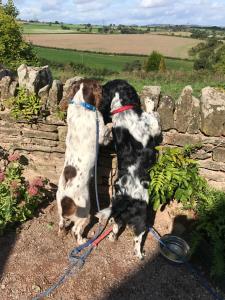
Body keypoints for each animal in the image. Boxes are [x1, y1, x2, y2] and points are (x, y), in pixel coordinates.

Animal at [56, 79, 111, 244]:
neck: (81, 103)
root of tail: (65, 200)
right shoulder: (101, 132)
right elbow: (108, 130)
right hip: (85, 211)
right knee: (76, 230)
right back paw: (83, 241)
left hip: (60, 213)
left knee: (61, 224)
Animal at [98, 79, 162, 258]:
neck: (123, 109)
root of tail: (126, 198)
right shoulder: (153, 127)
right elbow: (153, 115)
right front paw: (149, 101)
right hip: (142, 219)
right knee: (137, 239)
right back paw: (140, 254)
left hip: (118, 216)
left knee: (115, 226)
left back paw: (112, 238)